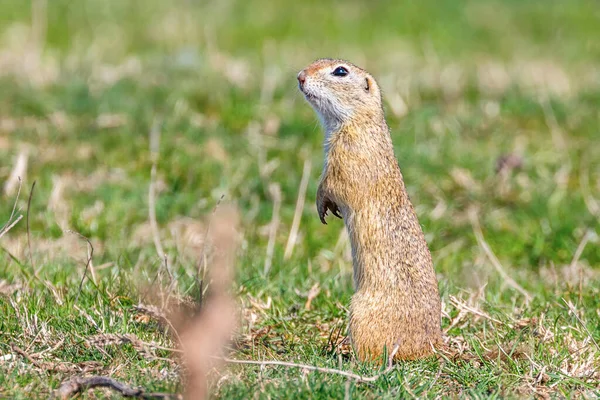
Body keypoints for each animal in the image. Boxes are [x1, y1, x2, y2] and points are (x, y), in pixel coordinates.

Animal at [298, 58, 442, 362]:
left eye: (340, 71)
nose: (300, 77)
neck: (359, 121)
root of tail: (434, 344)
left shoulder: (347, 158)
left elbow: (332, 184)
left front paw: (322, 206)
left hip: (359, 312)